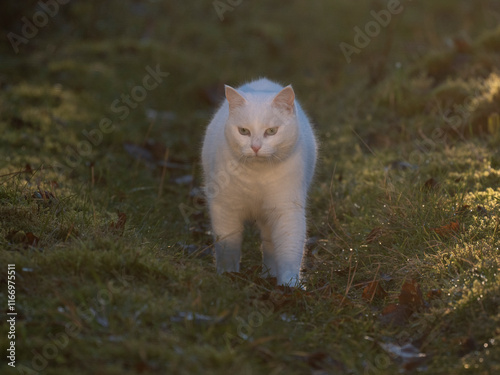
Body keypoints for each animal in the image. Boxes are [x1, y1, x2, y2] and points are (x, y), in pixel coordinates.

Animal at [202, 78, 316, 286]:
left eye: (271, 131)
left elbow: (289, 251)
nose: (255, 147)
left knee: (270, 246)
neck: (256, 176)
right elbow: (228, 247)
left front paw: (289, 285)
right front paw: (228, 275)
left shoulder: (287, 209)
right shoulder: (225, 208)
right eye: (243, 131)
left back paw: (268, 275)